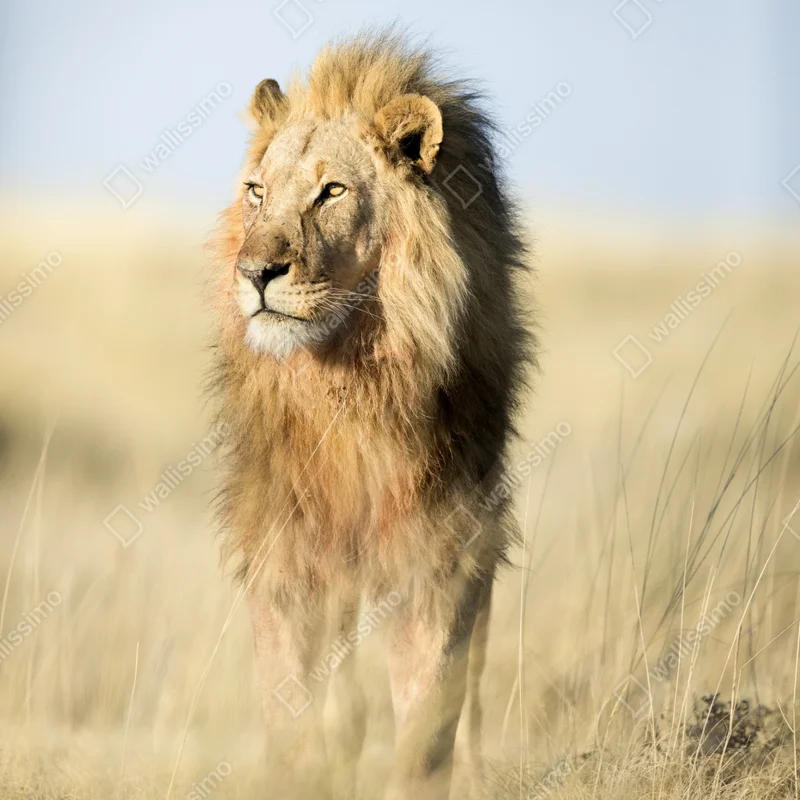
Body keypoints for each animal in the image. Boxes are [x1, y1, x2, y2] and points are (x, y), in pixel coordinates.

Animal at [209, 31, 533, 800]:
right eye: (257, 192)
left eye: (332, 192)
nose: (255, 273)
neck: (351, 384)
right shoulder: (286, 554)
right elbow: (297, 716)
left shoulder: (447, 549)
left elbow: (429, 720)